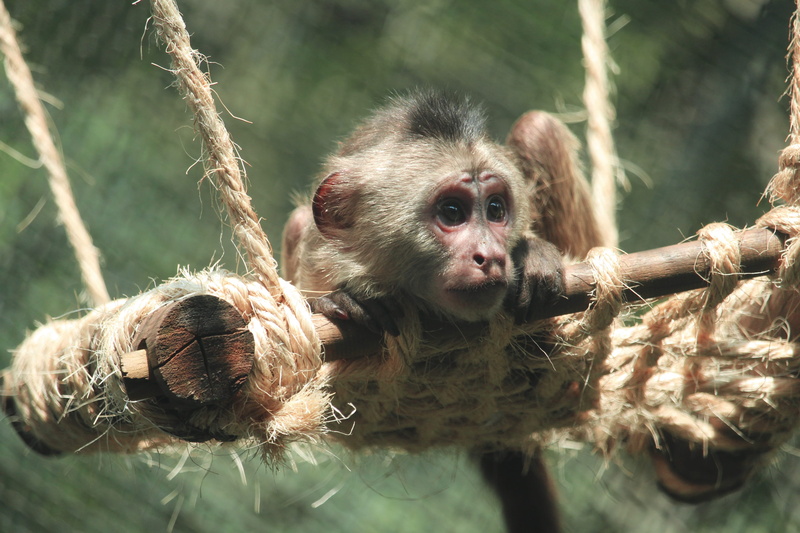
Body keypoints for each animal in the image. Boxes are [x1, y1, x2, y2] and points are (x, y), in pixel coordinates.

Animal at [282, 89, 603, 533]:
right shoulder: (318, 258)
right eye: (452, 212)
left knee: (535, 128)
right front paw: (337, 300)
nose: (492, 256)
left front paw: (532, 253)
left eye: (496, 209)